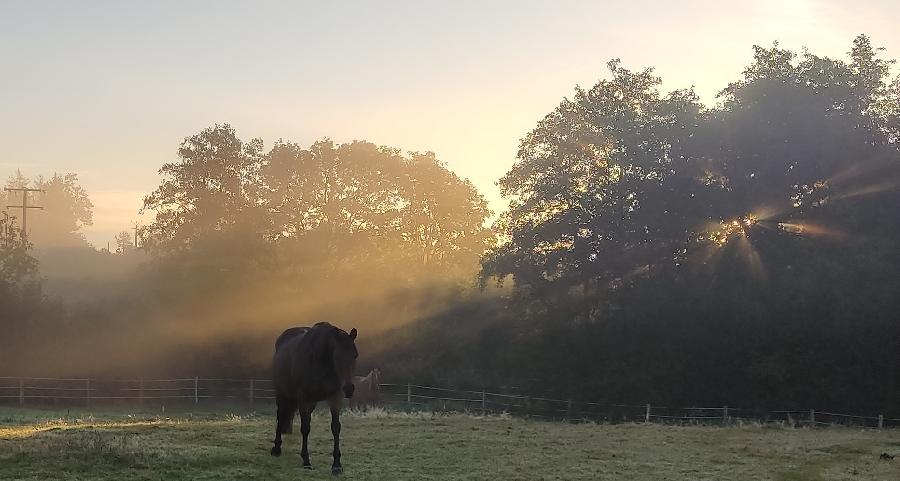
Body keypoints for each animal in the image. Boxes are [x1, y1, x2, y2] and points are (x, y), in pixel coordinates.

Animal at [271, 322, 358, 475]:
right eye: (336, 357)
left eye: (354, 355)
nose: (348, 389)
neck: (320, 361)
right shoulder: (303, 398)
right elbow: (305, 428)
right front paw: (306, 461)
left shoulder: (334, 397)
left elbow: (335, 427)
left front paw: (336, 465)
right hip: (282, 394)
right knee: (280, 416)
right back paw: (276, 449)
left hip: (311, 403)